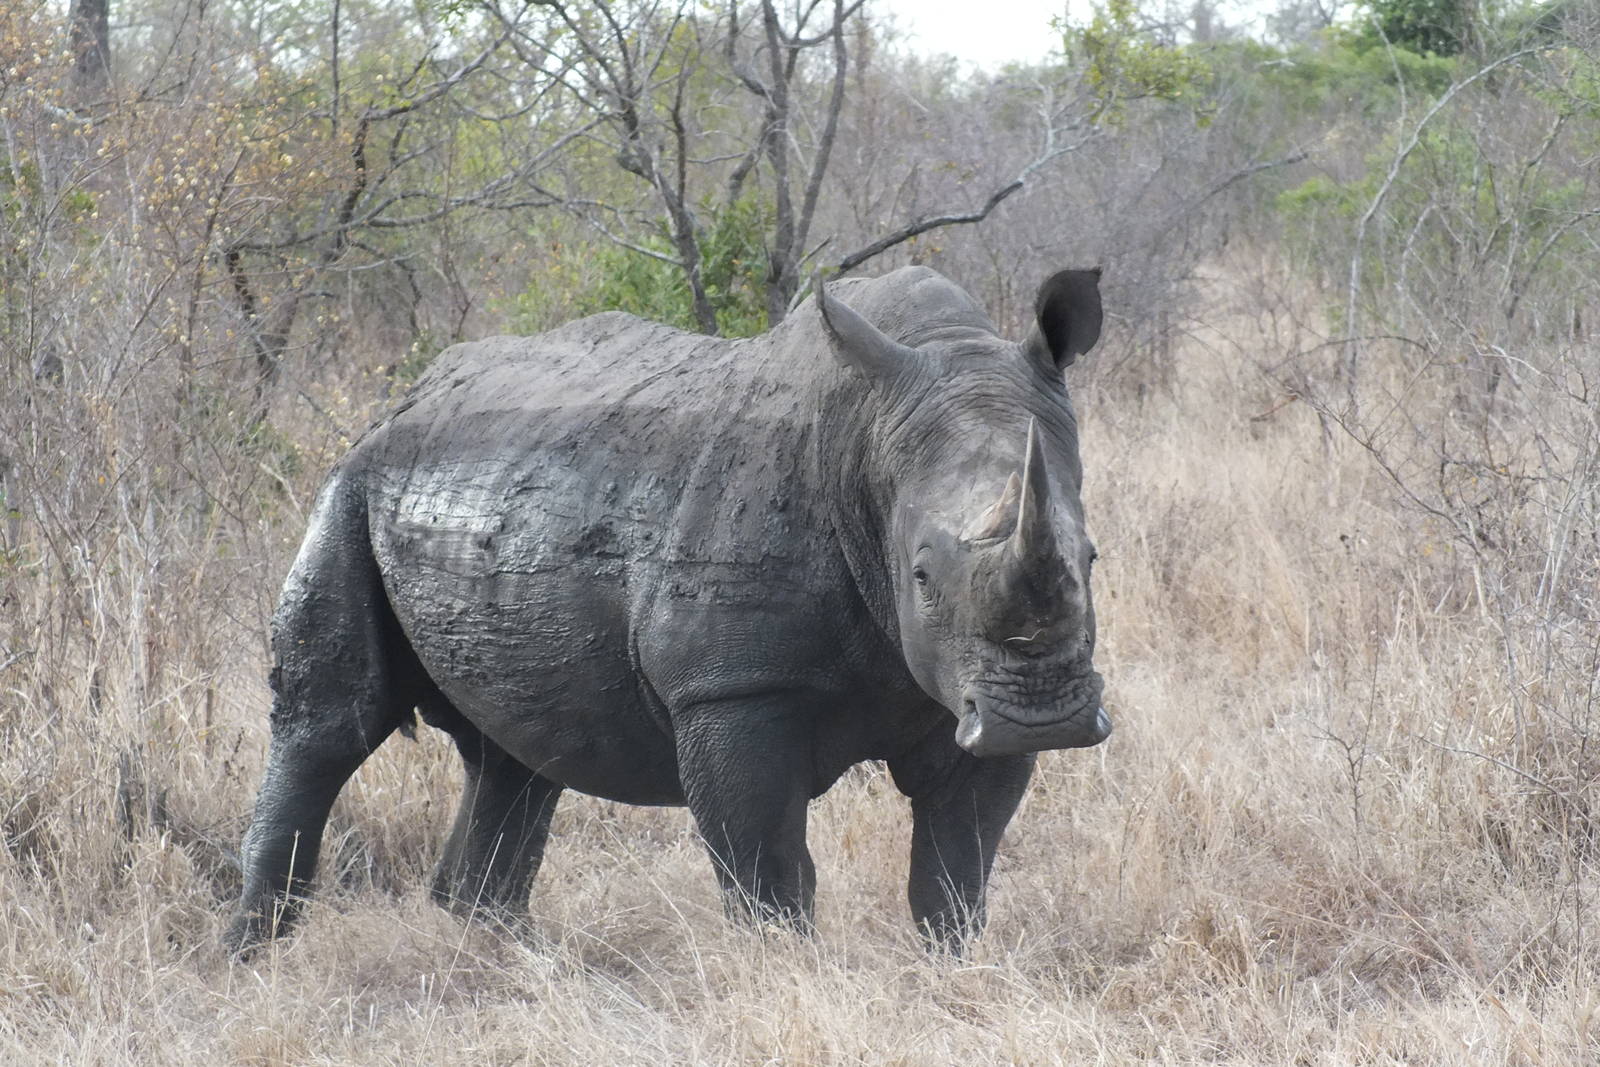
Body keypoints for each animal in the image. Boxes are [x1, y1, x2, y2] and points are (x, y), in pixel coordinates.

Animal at [225, 265, 1110, 955]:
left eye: (1093, 558)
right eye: (921, 574)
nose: (1045, 719)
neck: (869, 437)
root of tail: (401, 400)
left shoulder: (968, 688)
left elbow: (956, 867)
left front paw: (949, 969)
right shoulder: (730, 688)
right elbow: (768, 870)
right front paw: (781, 978)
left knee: (516, 754)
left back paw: (501, 954)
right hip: (351, 485)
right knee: (330, 723)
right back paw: (255, 957)